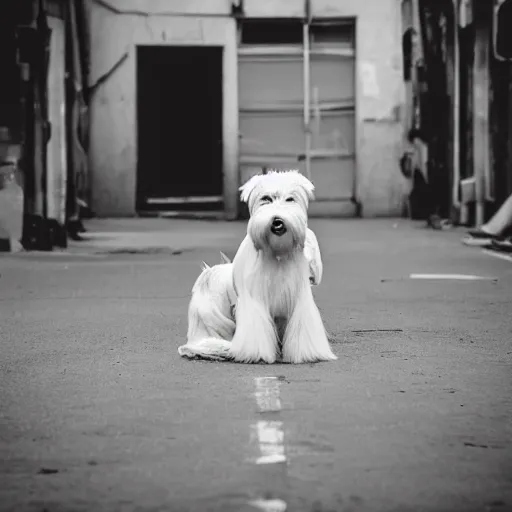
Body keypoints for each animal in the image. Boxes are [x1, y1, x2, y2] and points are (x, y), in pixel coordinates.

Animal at [178, 170, 338, 362]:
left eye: (290, 199)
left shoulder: (299, 302)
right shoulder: (255, 303)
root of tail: (208, 272)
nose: (277, 221)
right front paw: (256, 355)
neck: (277, 255)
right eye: (265, 199)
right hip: (210, 316)